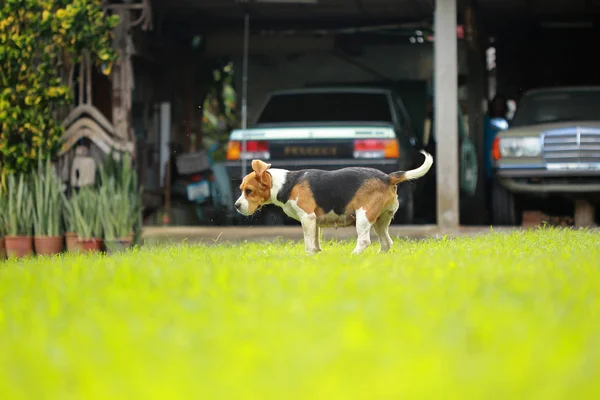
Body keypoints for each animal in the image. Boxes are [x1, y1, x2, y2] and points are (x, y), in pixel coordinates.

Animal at [232, 150, 434, 256]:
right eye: (241, 188)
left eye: (248, 191)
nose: (236, 206)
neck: (286, 183)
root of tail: (386, 177)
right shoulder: (314, 222)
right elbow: (315, 243)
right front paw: (315, 256)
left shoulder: (307, 218)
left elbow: (308, 243)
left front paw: (308, 257)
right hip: (381, 220)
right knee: (386, 243)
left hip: (364, 216)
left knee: (364, 241)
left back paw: (353, 256)